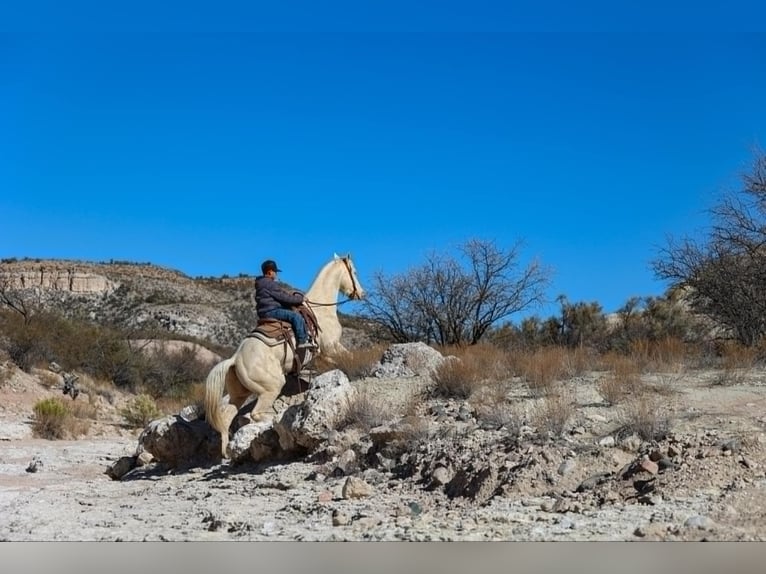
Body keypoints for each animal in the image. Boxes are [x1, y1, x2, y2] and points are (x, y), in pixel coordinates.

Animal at [204, 253, 365, 457]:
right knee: (255, 414)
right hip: (271, 387)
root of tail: (235, 359)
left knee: (226, 417)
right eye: (354, 272)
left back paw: (226, 453)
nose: (361, 293)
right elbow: (350, 358)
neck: (321, 310)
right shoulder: (332, 347)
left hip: (239, 395)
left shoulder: (326, 354)